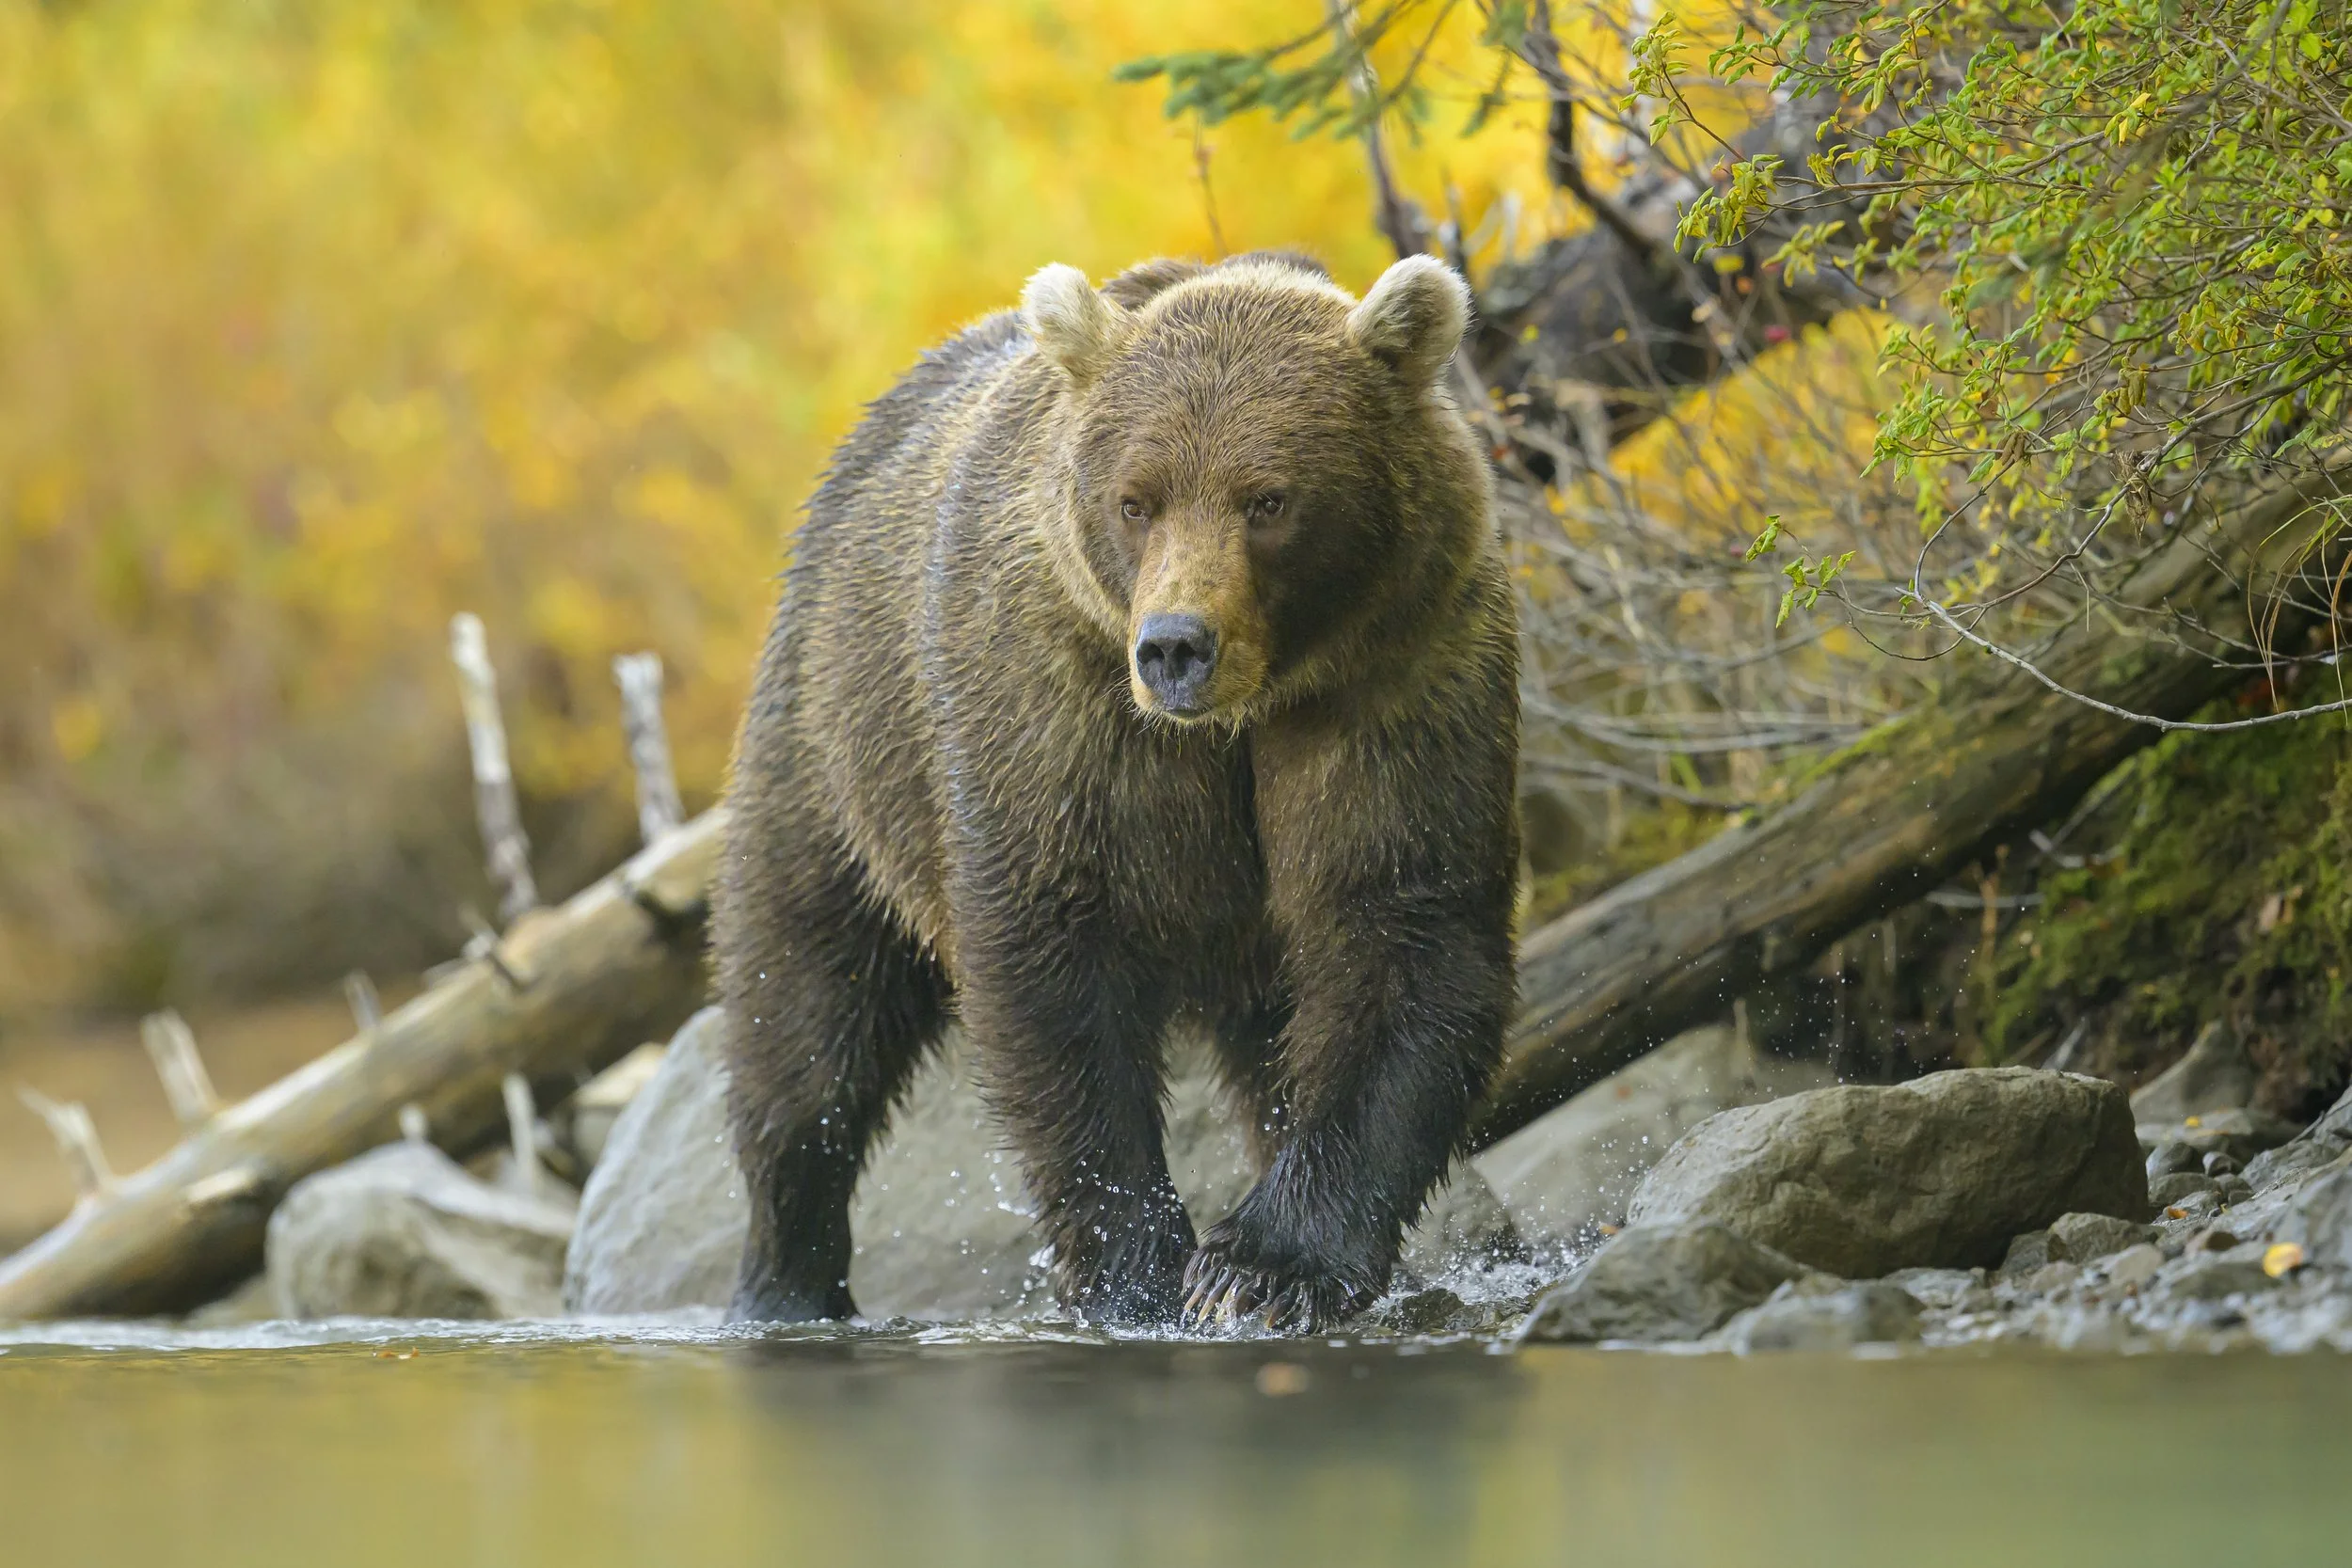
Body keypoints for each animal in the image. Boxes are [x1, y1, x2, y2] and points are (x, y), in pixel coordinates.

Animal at [713, 249, 1520, 1331]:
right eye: (1137, 499)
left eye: (1268, 498)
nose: (1176, 645)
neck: (1243, 715)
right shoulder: (1056, 712)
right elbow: (1054, 972)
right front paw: (1139, 1267)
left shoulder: (1397, 681)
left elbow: (1405, 933)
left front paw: (1266, 1264)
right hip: (834, 742)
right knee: (804, 1003)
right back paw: (783, 1277)